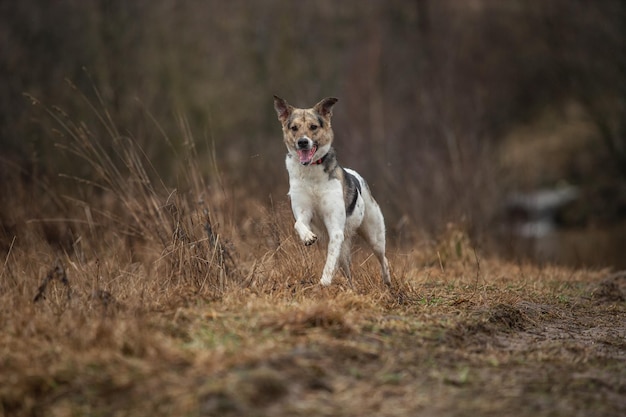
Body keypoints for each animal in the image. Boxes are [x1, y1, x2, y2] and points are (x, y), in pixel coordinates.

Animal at [270, 96, 388, 288]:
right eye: (294, 128)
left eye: (313, 127)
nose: (303, 142)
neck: (311, 171)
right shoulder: (303, 212)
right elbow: (298, 224)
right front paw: (307, 237)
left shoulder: (335, 229)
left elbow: (330, 261)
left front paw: (324, 282)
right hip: (346, 248)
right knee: (347, 270)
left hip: (374, 235)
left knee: (383, 259)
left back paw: (388, 283)